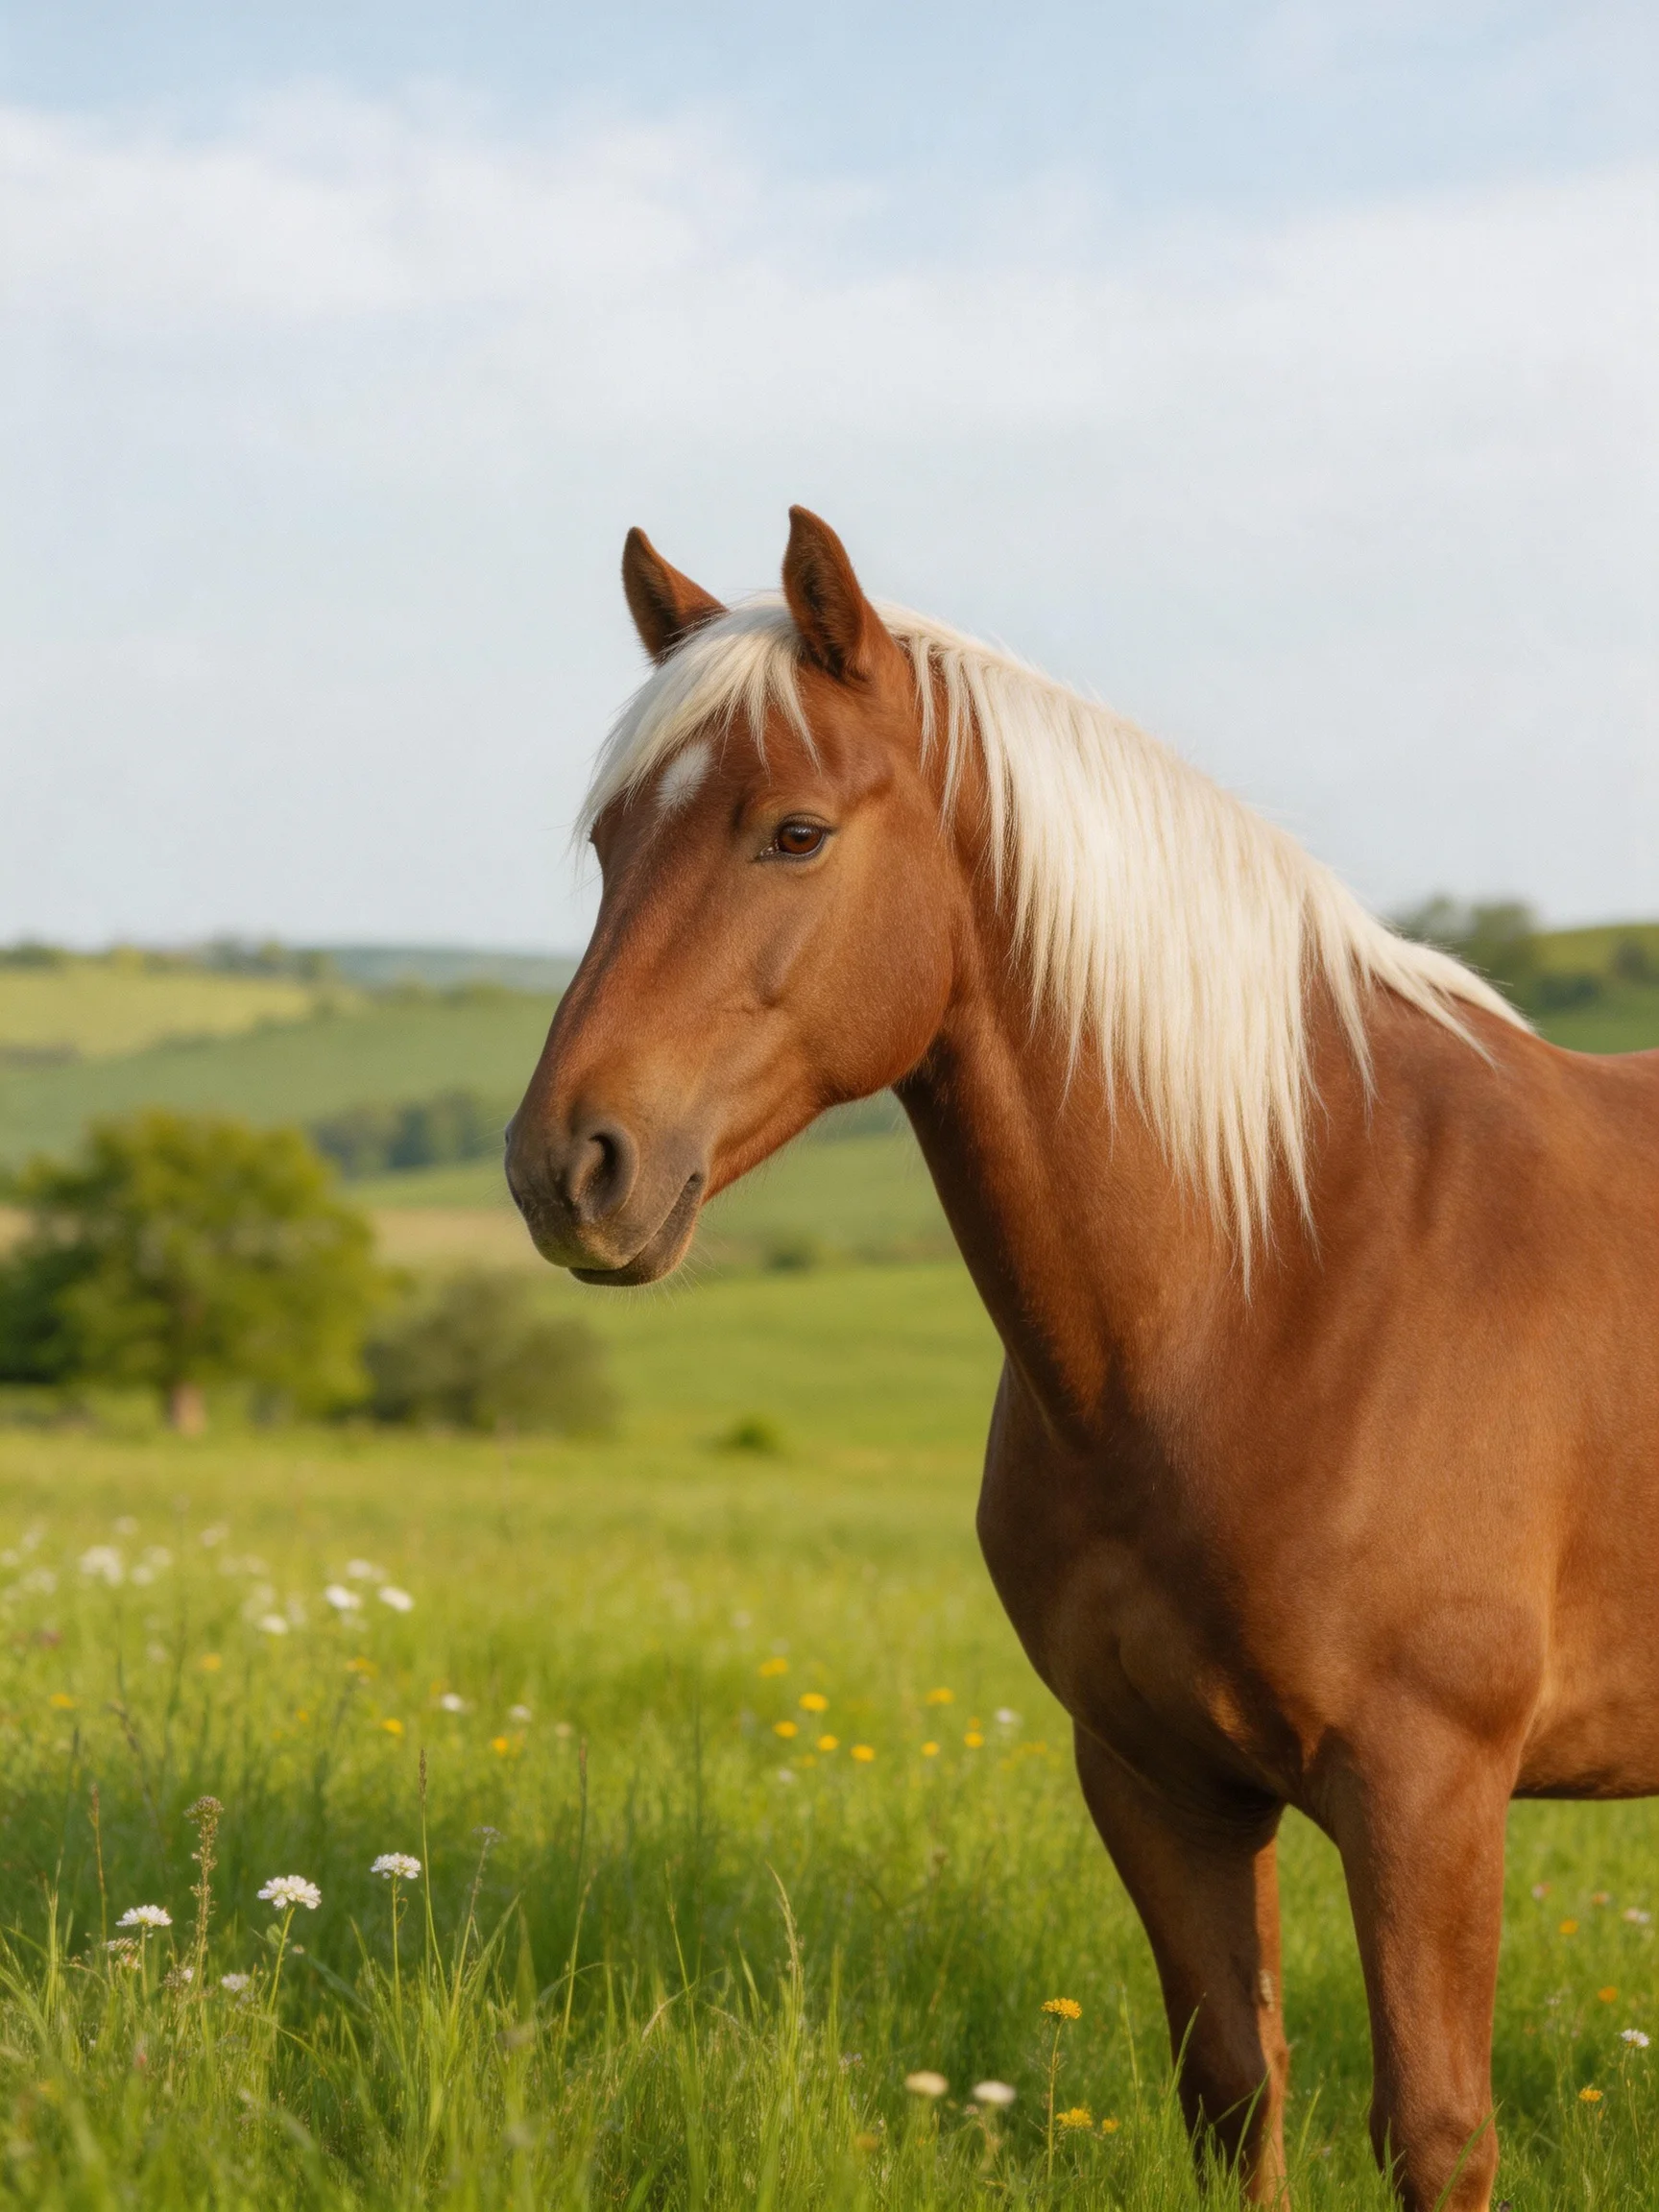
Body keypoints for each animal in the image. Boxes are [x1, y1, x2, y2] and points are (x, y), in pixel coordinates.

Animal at [506, 507, 1659, 2210]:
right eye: (607, 847)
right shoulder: (1155, 1779)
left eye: (794, 832)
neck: (1287, 1270)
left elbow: (1437, 2135)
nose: (565, 1168)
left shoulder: (1426, 1791)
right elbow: (1235, 2097)